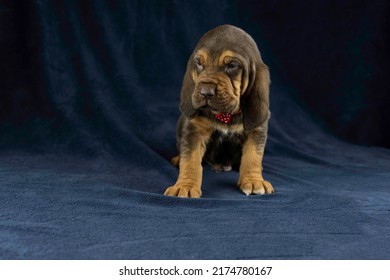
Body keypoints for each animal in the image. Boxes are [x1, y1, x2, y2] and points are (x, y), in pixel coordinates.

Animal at [165, 24, 274, 199]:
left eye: (231, 66)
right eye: (199, 63)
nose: (205, 92)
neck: (225, 115)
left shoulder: (257, 130)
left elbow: (253, 156)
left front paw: (253, 181)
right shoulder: (194, 130)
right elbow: (191, 160)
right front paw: (185, 185)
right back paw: (178, 158)